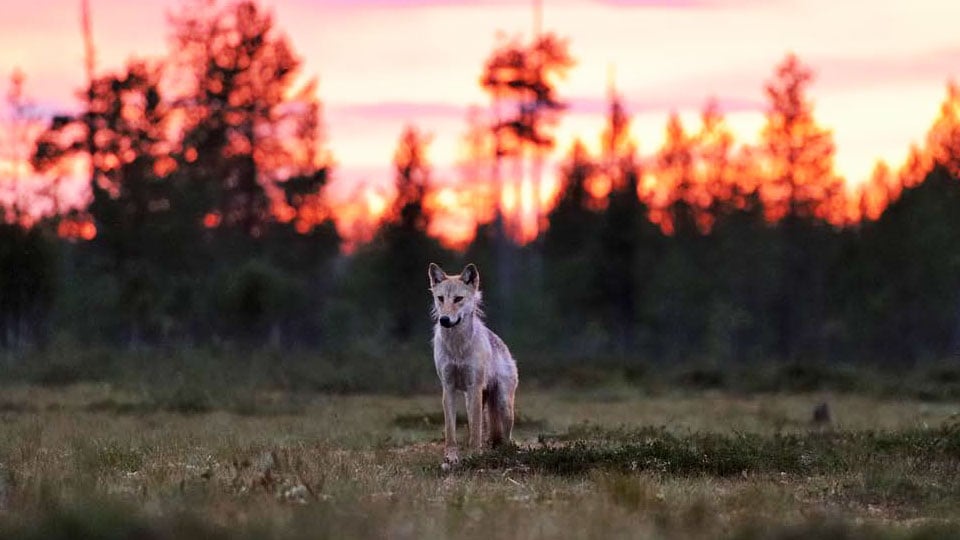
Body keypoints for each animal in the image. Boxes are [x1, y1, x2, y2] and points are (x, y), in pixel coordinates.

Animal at [430, 262, 516, 464]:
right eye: (440, 298)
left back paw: (505, 453)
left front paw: (475, 456)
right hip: (473, 399)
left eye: (458, 299)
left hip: (502, 404)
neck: (457, 347)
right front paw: (451, 457)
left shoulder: (474, 386)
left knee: (505, 437)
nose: (444, 320)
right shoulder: (448, 388)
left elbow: (476, 431)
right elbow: (451, 430)